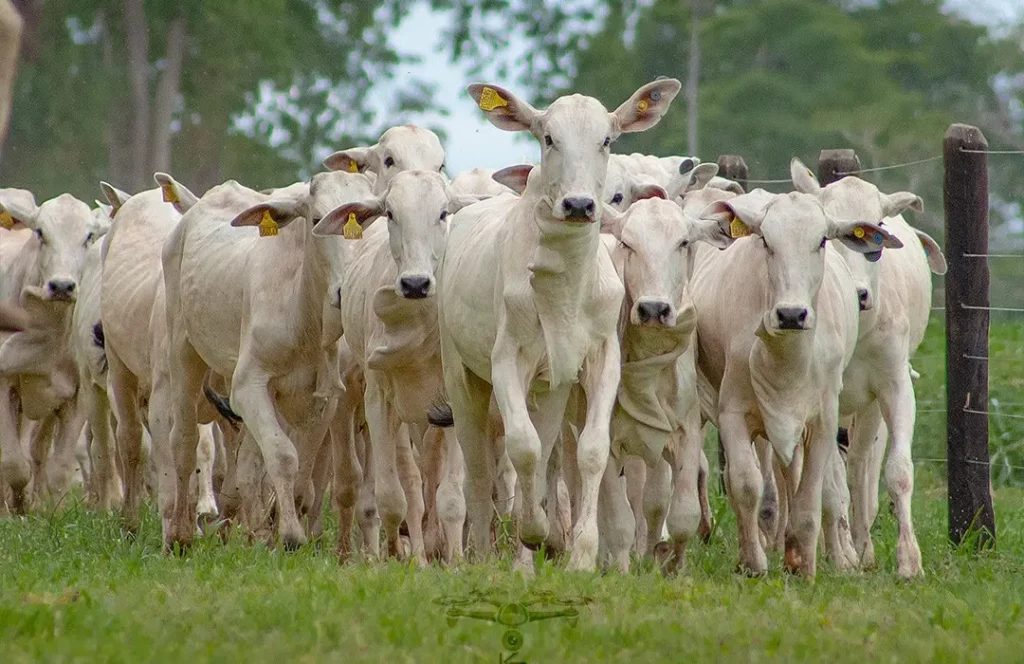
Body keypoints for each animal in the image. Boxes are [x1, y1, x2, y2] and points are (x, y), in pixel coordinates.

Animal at [438, 77, 684, 569]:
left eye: (606, 140)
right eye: (548, 137)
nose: (578, 204)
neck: (565, 287)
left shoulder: (600, 359)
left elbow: (589, 451)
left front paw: (582, 555)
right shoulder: (506, 360)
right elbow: (522, 447)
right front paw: (535, 531)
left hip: (550, 388)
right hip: (461, 376)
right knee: (480, 472)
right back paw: (489, 556)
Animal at [692, 172, 901, 573]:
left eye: (821, 240)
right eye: (765, 241)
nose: (791, 314)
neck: (784, 360)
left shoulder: (822, 421)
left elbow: (809, 498)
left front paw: (804, 566)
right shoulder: (732, 413)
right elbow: (746, 485)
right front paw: (754, 562)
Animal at [794, 161, 946, 573]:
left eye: (877, 227)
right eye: (829, 233)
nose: (858, 293)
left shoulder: (894, 386)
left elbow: (898, 472)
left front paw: (909, 560)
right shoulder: (822, 400)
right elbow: (830, 486)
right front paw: (841, 555)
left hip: (869, 408)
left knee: (861, 469)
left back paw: (864, 545)